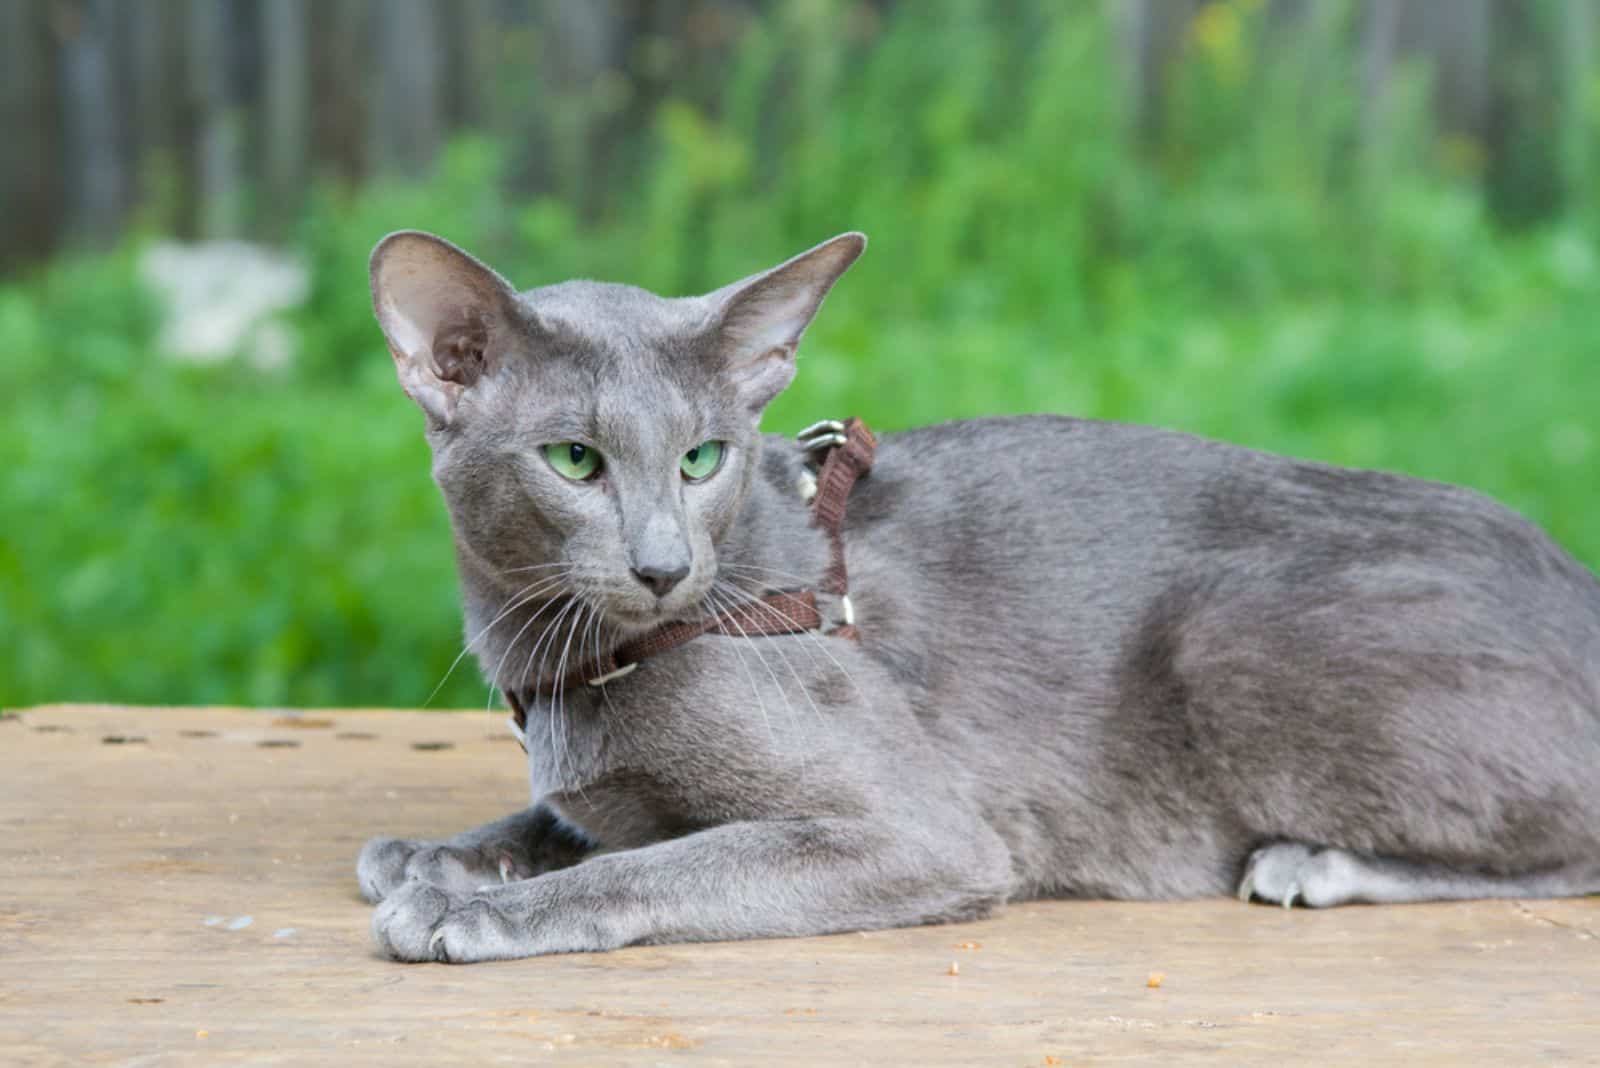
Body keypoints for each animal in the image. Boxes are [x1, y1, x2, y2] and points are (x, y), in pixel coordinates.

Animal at [356, 230, 1600, 965]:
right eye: (574, 461)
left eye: (703, 460)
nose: (663, 567)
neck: (573, 664)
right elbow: (566, 820)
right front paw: (439, 852)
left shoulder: (922, 830)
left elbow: (656, 862)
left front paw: (473, 907)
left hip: (1230, 637)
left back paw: (1314, 862)